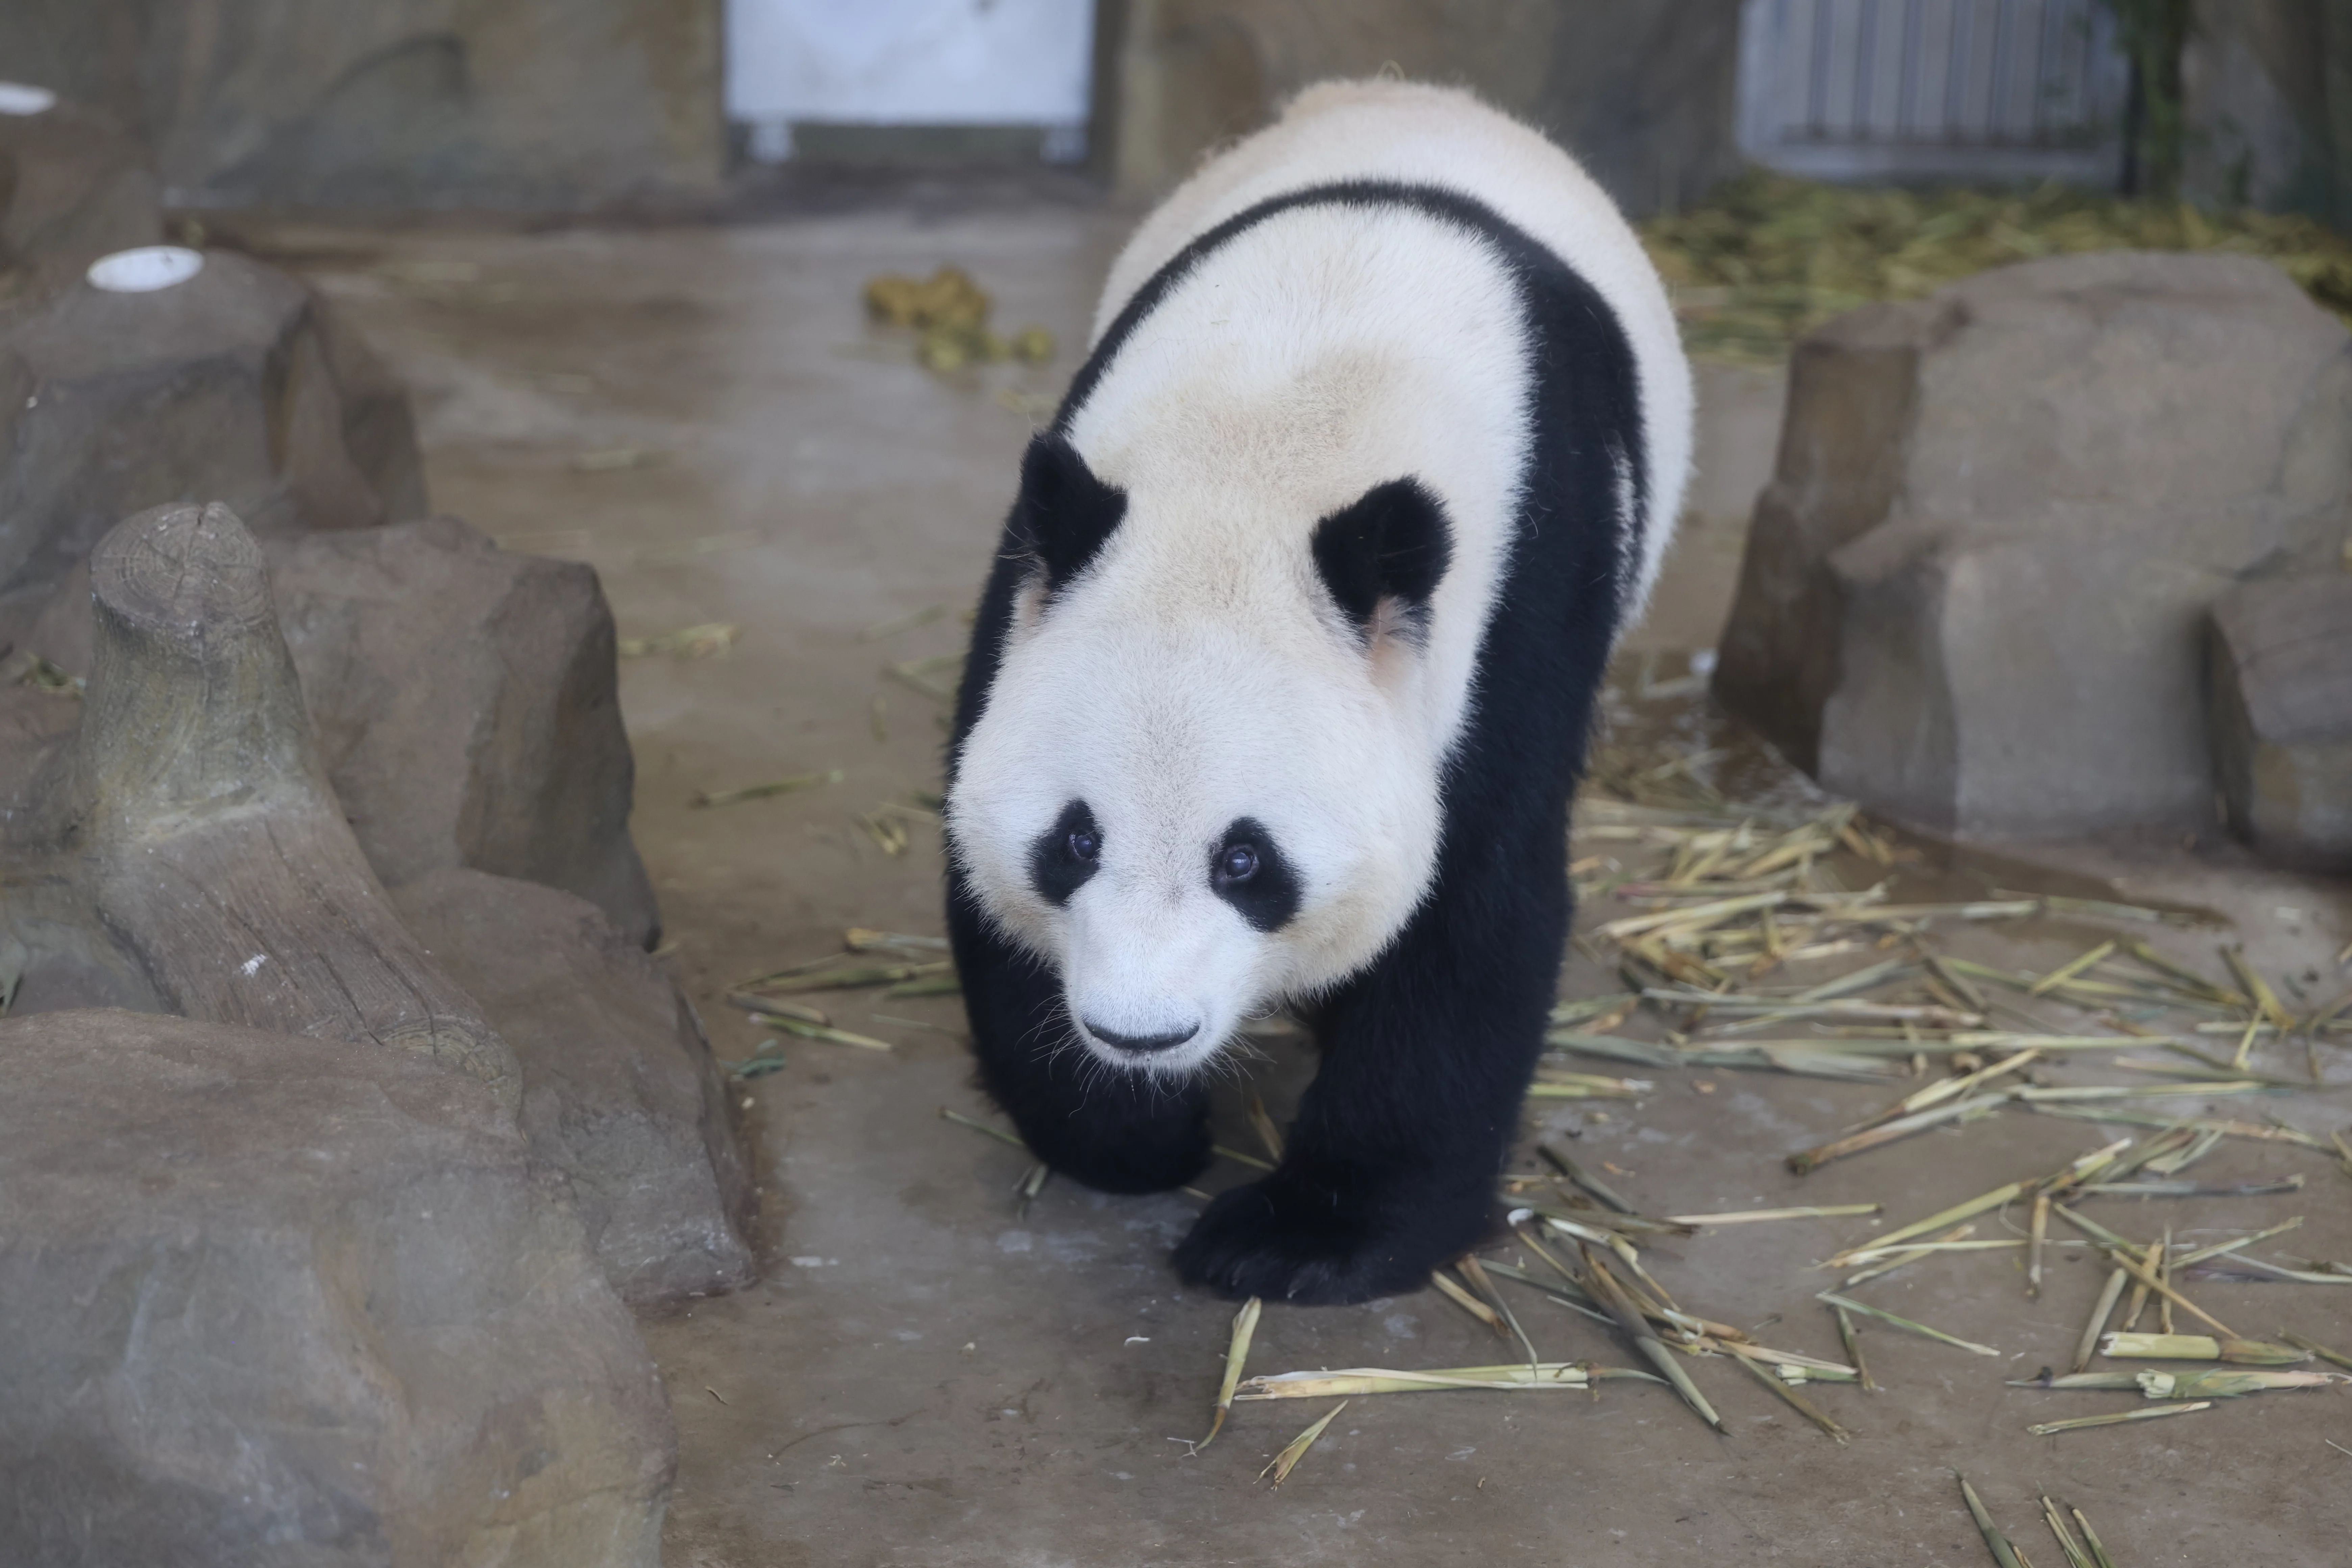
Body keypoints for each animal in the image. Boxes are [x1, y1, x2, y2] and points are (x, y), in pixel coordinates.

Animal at [942, 79, 1692, 1305]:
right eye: (1075, 840)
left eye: (1246, 862)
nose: (1142, 1034)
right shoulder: (1040, 569)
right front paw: (1131, 1131)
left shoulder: (1519, 607)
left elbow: (1471, 911)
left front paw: (1303, 1237)